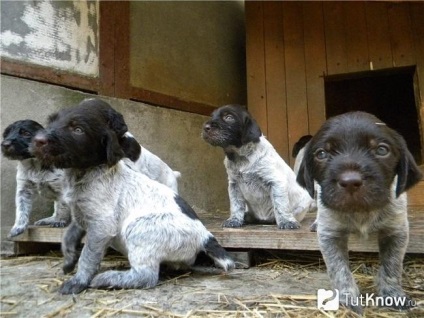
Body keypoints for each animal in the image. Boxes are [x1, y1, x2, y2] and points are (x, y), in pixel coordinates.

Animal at [31, 100, 234, 296]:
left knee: (146, 276)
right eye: (52, 121)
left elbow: (88, 256)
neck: (85, 173)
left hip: (139, 228)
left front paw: (78, 281)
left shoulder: (102, 226)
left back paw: (108, 278)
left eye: (78, 130)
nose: (37, 140)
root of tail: (205, 235)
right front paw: (68, 261)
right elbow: (69, 236)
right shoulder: (81, 214)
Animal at [296, 110, 422, 314]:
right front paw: (347, 299)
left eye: (382, 150)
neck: (361, 211)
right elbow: (339, 270)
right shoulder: (330, 234)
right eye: (321, 153)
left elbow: (392, 266)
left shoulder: (396, 231)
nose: (350, 182)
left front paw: (393, 294)